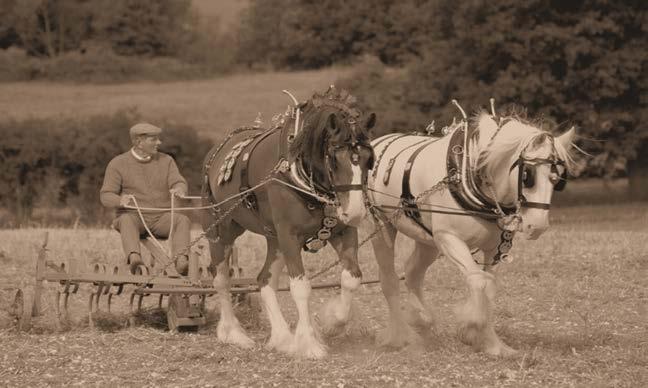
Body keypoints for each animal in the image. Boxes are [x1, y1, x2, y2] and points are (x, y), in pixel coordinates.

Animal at [202, 87, 374, 358]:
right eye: (335, 158)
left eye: (369, 159)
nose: (355, 211)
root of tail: (216, 153)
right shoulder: (290, 235)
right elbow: (300, 287)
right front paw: (309, 344)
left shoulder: (343, 232)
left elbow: (352, 278)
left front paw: (332, 321)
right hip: (222, 230)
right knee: (221, 279)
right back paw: (233, 333)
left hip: (274, 238)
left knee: (265, 279)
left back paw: (282, 337)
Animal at [368, 107, 576, 356]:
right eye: (527, 175)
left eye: (559, 179)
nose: (538, 226)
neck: (469, 174)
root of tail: (377, 141)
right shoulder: (449, 239)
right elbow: (478, 281)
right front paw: (471, 327)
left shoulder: (495, 248)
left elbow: (489, 289)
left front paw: (494, 345)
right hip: (381, 225)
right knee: (389, 279)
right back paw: (399, 336)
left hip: (427, 240)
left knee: (412, 273)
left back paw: (422, 319)